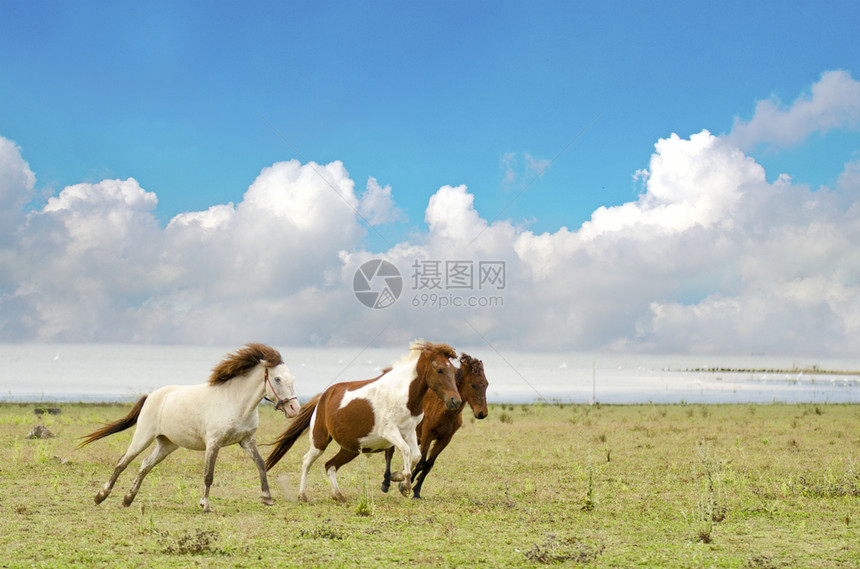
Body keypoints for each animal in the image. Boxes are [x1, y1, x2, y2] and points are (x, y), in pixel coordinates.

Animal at [80, 342, 302, 510]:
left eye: (292, 379)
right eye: (277, 379)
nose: (294, 409)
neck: (234, 401)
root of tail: (151, 396)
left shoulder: (246, 440)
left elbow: (261, 464)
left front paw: (267, 497)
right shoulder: (213, 443)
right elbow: (208, 475)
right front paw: (205, 504)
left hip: (167, 444)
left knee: (145, 465)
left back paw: (128, 499)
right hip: (143, 437)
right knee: (122, 462)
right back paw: (101, 496)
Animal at [266, 340, 460, 500]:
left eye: (454, 371)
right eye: (440, 370)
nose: (455, 401)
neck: (404, 394)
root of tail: (323, 397)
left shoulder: (410, 431)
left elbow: (417, 455)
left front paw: (398, 478)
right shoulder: (389, 431)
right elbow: (405, 450)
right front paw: (403, 484)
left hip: (350, 448)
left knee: (330, 465)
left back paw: (338, 495)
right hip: (319, 440)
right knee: (307, 461)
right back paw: (302, 496)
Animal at [380, 350, 488, 496]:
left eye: (486, 384)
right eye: (473, 384)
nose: (482, 413)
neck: (442, 408)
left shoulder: (444, 440)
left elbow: (428, 464)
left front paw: (416, 491)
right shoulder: (427, 435)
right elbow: (421, 462)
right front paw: (406, 483)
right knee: (389, 453)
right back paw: (386, 482)